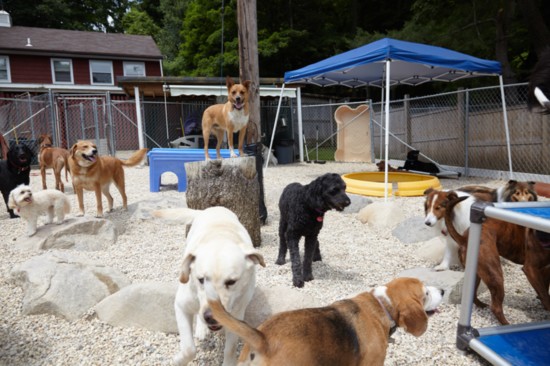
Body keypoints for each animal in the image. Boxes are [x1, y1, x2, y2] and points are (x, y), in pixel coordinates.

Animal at [153, 207, 268, 366]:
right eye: (201, 279)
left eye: (231, 282)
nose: (210, 317)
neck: (220, 236)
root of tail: (213, 208)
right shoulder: (181, 306)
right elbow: (189, 349)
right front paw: (178, 360)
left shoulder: (236, 316)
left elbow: (230, 349)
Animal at [446, 193, 550, 324]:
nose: (541, 236)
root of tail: (465, 238)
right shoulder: (531, 269)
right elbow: (545, 294)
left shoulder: (545, 270)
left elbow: (544, 290)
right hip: (496, 275)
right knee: (495, 307)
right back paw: (506, 324)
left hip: (478, 274)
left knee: (473, 294)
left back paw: (481, 305)